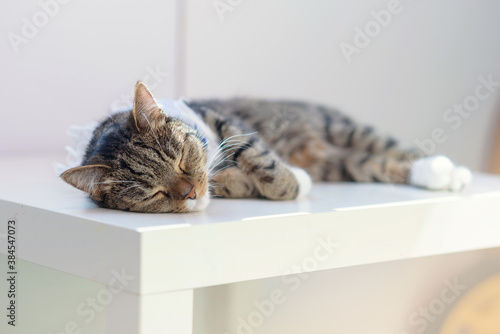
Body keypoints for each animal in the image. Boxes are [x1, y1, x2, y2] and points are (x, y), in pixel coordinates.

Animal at [60, 81, 470, 213]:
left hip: (345, 129)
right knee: (372, 164)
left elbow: (260, 158)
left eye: (181, 160)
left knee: (395, 148)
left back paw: (454, 172)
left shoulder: (228, 124)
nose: (190, 192)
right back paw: (439, 175)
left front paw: (290, 183)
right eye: (153, 194)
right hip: (342, 163)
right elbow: (235, 182)